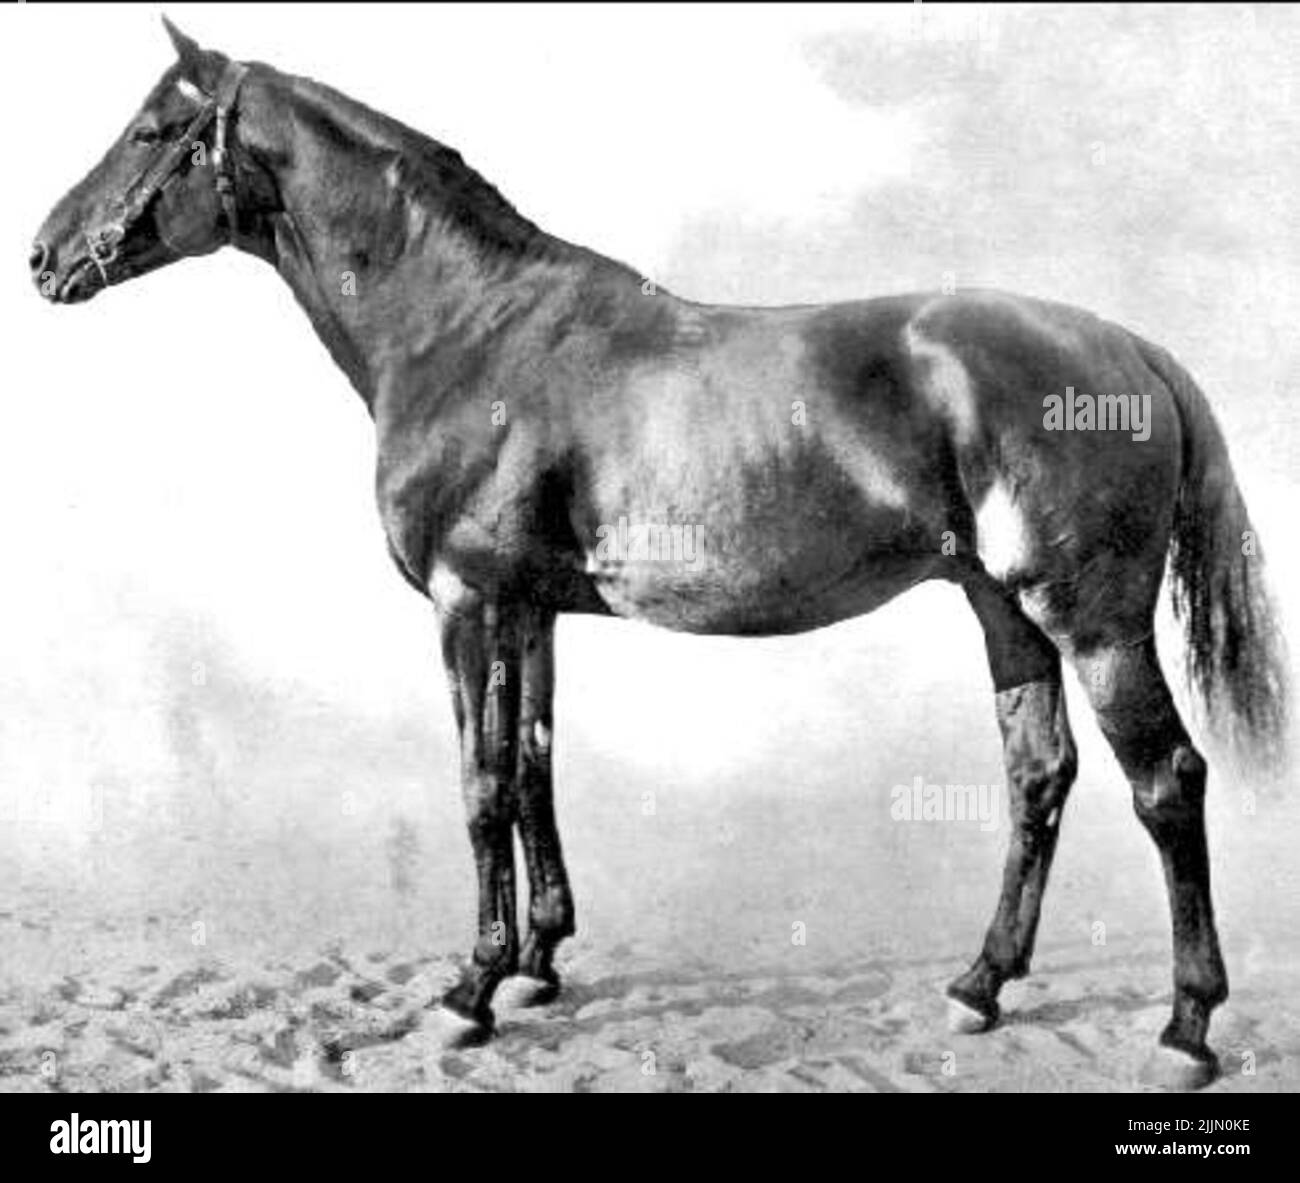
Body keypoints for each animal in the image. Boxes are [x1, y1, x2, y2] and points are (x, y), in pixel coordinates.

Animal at [32, 20, 1289, 1092]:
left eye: (150, 130)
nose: (44, 256)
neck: (468, 331)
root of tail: (1129, 347)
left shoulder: (466, 603)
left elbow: (479, 785)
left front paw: (470, 989)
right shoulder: (528, 609)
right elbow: (531, 768)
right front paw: (538, 965)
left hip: (1092, 622)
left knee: (1165, 782)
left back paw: (1183, 1028)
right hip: (1002, 610)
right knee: (1038, 775)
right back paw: (978, 986)